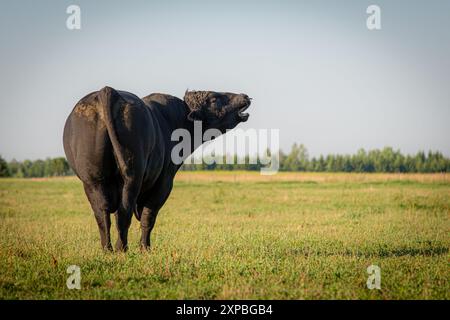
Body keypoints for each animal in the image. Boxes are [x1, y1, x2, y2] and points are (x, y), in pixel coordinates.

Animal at [62, 86, 251, 251]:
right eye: (213, 98)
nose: (244, 96)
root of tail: (108, 90)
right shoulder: (164, 182)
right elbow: (149, 216)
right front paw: (145, 248)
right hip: (133, 177)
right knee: (124, 213)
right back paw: (122, 249)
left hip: (92, 180)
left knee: (103, 214)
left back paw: (107, 249)